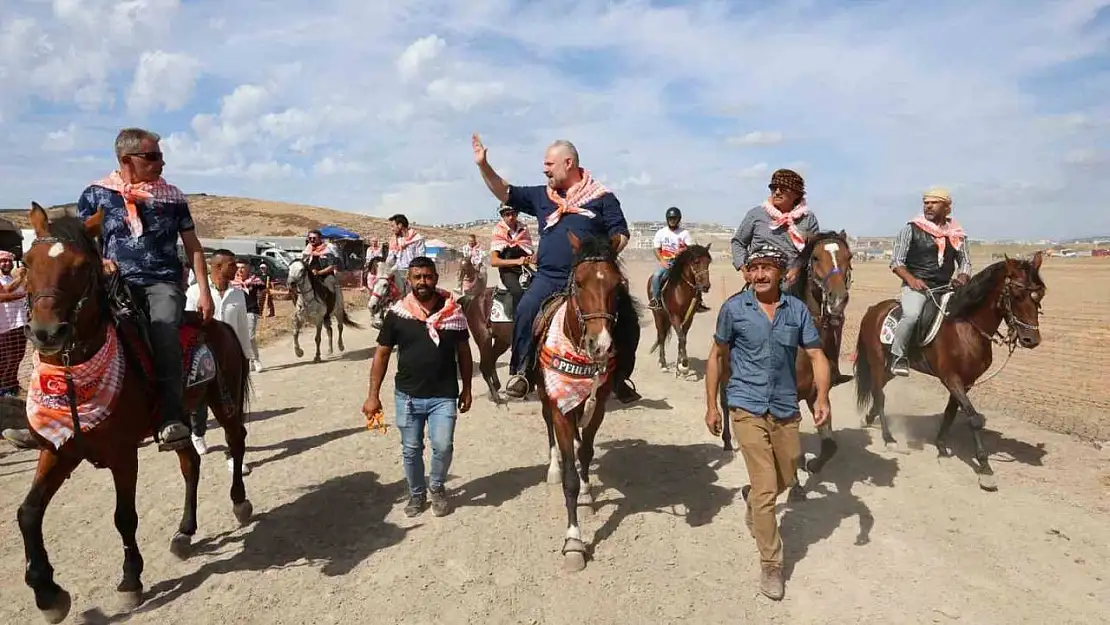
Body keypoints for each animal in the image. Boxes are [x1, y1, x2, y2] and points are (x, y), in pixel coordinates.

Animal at [16, 203, 251, 621]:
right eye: (27, 262)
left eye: (82, 266)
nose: (46, 333)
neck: (76, 381)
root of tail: (216, 322)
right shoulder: (58, 450)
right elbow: (28, 512)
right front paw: (47, 594)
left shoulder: (123, 454)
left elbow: (123, 516)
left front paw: (130, 580)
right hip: (180, 416)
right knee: (190, 463)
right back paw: (185, 531)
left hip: (224, 403)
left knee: (236, 442)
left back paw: (239, 502)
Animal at [535, 233, 626, 572]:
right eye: (580, 283)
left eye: (617, 284)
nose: (600, 344)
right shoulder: (559, 406)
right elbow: (570, 480)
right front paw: (574, 541)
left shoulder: (597, 406)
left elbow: (586, 452)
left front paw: (587, 494)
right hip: (545, 396)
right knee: (549, 429)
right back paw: (553, 468)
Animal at [648, 242, 710, 375]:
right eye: (696, 262)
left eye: (708, 262)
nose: (706, 286)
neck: (682, 290)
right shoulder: (674, 317)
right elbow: (681, 338)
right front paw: (684, 364)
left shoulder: (689, 317)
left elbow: (683, 338)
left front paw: (680, 363)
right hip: (658, 315)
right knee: (661, 337)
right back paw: (663, 364)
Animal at [852, 251, 1043, 490]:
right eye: (1016, 295)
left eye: (1040, 295)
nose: (1031, 339)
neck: (966, 326)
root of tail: (873, 311)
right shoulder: (951, 378)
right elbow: (973, 419)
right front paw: (985, 468)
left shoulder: (967, 381)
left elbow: (951, 412)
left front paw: (941, 446)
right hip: (877, 363)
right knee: (879, 395)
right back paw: (889, 439)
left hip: (890, 367)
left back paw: (868, 419)